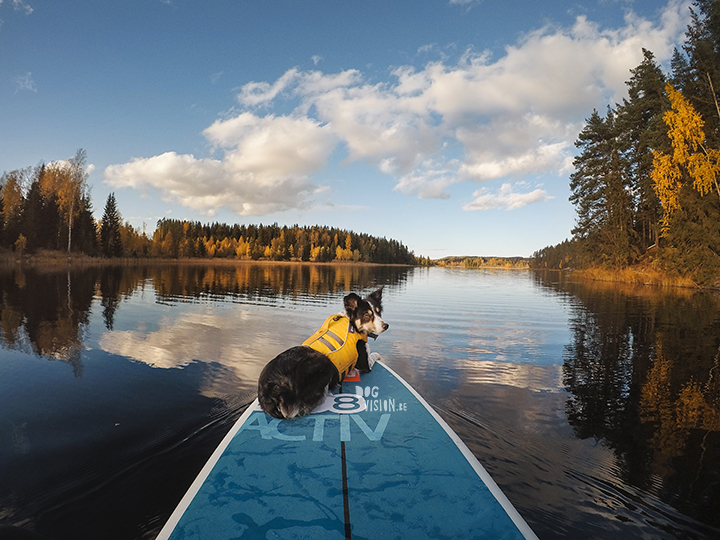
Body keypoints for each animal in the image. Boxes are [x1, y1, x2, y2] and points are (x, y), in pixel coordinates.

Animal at [258, 286, 388, 418]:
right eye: (367, 315)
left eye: (378, 312)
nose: (386, 326)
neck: (352, 324)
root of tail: (271, 393)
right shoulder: (365, 364)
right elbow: (373, 356)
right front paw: (378, 355)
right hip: (323, 363)